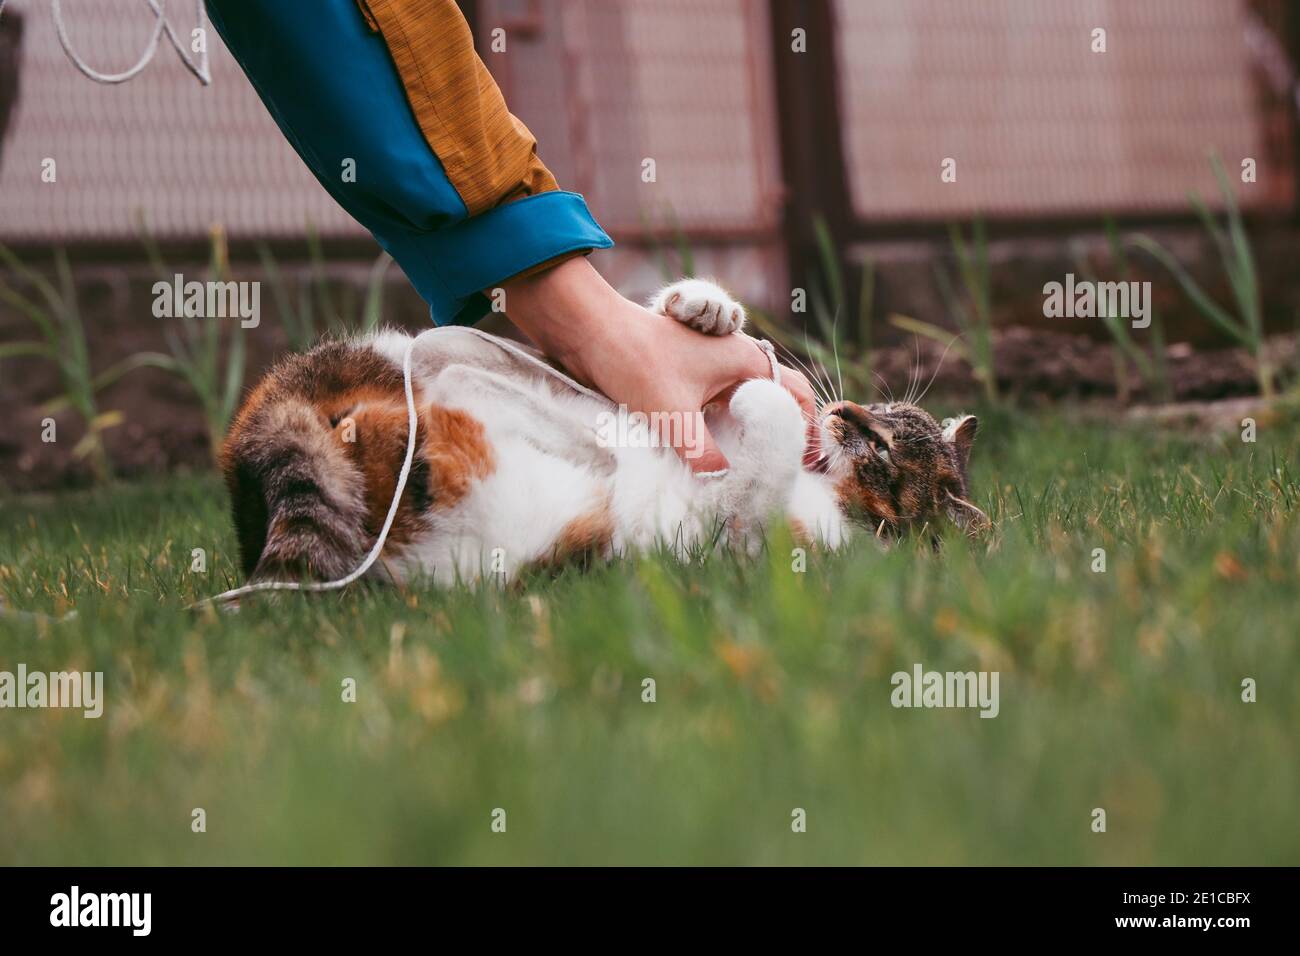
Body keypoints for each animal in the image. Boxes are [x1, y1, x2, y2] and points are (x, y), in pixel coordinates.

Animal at [220, 280, 982, 587]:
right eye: (880, 416)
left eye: (883, 451)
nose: (842, 411)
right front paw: (704, 311)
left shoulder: (747, 537)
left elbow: (759, 443)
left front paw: (768, 399)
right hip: (417, 352)